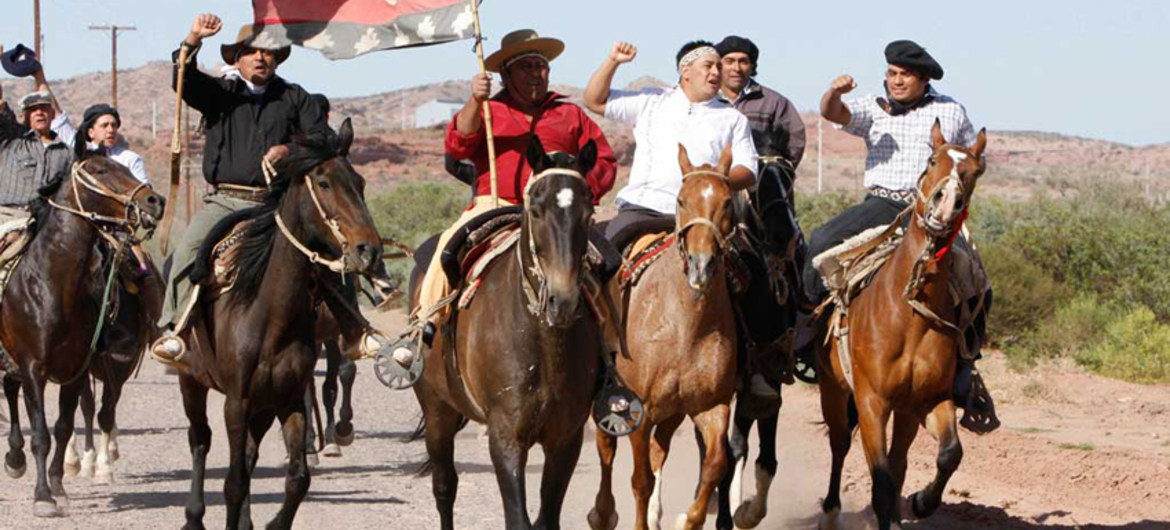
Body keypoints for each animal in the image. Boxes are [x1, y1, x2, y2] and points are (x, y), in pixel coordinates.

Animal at [0, 153, 164, 517]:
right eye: (99, 170)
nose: (154, 200)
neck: (51, 284)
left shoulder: (78, 367)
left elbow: (65, 427)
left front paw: (59, 486)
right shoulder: (34, 367)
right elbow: (42, 434)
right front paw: (43, 497)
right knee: (11, 390)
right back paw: (16, 459)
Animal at [175, 119, 383, 528]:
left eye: (360, 182)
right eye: (323, 182)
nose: (369, 250)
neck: (267, 316)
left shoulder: (286, 398)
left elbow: (298, 478)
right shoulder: (236, 403)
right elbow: (234, 482)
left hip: (264, 404)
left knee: (250, 453)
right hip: (191, 380)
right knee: (200, 439)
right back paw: (193, 515)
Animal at [409, 137, 603, 528]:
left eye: (588, 212)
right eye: (537, 210)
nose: (562, 300)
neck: (543, 343)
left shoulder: (566, 439)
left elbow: (547, 518)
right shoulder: (505, 436)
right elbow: (518, 518)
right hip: (437, 410)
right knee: (444, 486)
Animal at [589, 143, 734, 528]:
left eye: (728, 202)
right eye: (682, 200)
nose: (701, 265)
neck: (685, 327)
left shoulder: (711, 407)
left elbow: (715, 466)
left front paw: (689, 519)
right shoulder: (641, 410)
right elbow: (640, 480)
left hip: (674, 412)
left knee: (659, 451)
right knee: (606, 447)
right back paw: (602, 513)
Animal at [819, 119, 992, 528]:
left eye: (974, 171)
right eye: (931, 161)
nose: (947, 202)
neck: (908, 316)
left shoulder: (927, 401)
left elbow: (948, 454)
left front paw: (921, 502)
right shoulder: (871, 402)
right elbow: (881, 479)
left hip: (903, 411)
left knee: (897, 462)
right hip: (833, 389)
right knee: (839, 443)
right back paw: (831, 510)